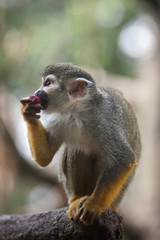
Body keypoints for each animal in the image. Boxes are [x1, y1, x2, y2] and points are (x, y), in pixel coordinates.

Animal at [20, 62, 141, 228]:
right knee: (76, 149)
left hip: (117, 195)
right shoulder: (59, 118)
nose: (37, 91)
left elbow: (124, 158)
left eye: (48, 83)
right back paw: (76, 199)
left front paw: (94, 205)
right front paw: (29, 113)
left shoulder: (105, 119)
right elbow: (45, 158)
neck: (77, 111)